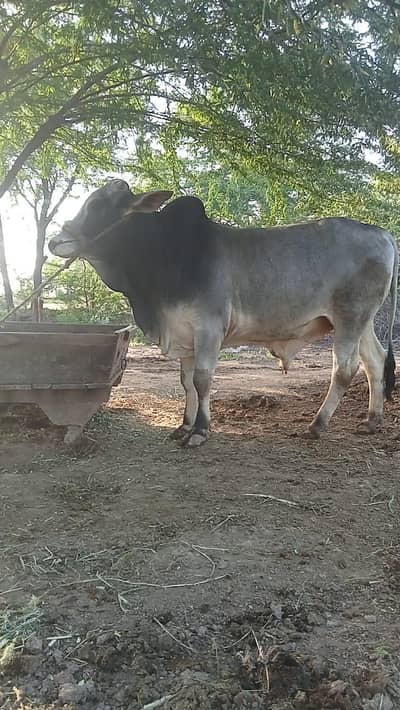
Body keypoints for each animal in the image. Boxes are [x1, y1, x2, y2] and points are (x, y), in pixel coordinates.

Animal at [48, 179, 398, 447]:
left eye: (99, 207)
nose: (55, 242)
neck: (166, 256)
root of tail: (381, 233)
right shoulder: (184, 334)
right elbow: (186, 383)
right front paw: (184, 426)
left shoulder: (208, 328)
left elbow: (202, 380)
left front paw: (201, 431)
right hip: (360, 322)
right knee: (374, 362)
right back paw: (372, 421)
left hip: (350, 318)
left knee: (345, 369)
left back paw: (317, 425)